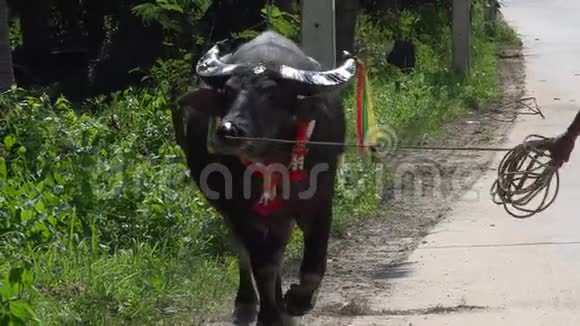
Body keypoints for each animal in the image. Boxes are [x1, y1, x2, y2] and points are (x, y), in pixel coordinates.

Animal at [172, 29, 356, 324]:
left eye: (271, 94)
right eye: (228, 91)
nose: (228, 130)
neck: (273, 158)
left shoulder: (320, 198)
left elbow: (314, 262)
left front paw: (297, 300)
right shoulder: (238, 209)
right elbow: (262, 264)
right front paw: (270, 315)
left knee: (277, 248)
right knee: (247, 253)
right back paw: (248, 303)